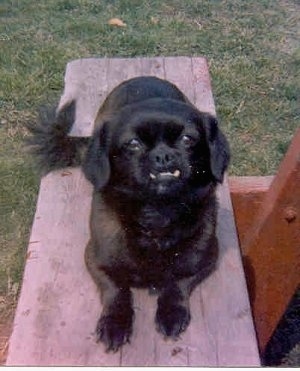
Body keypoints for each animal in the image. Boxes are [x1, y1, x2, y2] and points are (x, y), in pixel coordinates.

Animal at [27, 75, 230, 352]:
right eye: (133, 144)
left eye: (188, 139)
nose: (163, 155)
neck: (157, 214)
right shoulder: (96, 260)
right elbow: (117, 289)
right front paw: (115, 323)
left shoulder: (207, 259)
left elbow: (178, 281)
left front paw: (171, 312)